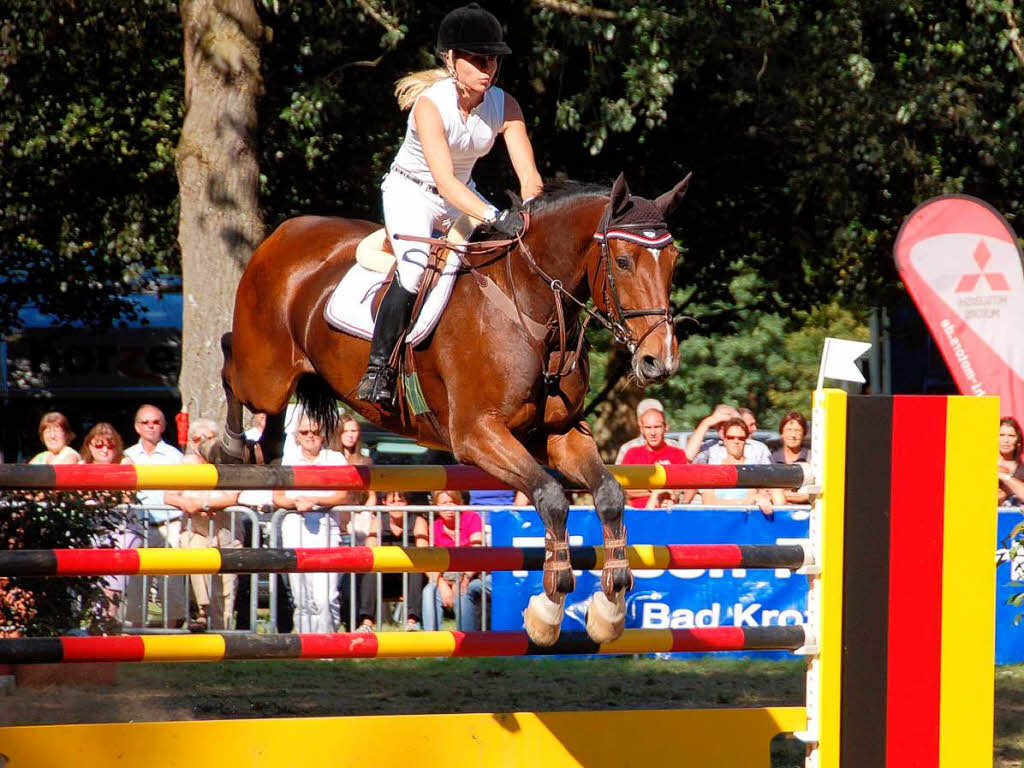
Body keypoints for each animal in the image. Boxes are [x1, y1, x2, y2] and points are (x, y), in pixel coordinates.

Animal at [205, 171, 688, 647]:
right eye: (623, 261)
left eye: (673, 260)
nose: (659, 360)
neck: (530, 305)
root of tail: (283, 233)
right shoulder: (476, 435)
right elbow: (550, 497)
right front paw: (548, 607)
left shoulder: (557, 433)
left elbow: (608, 494)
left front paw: (609, 606)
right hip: (265, 373)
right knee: (231, 362)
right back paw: (228, 447)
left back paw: (264, 449)